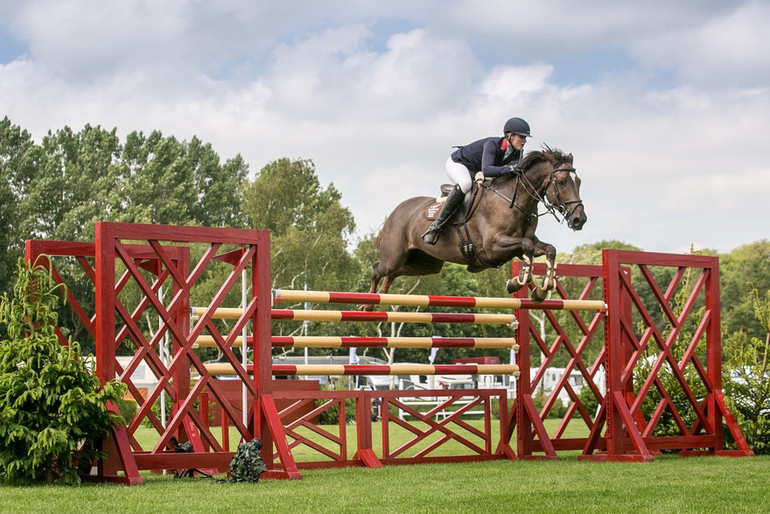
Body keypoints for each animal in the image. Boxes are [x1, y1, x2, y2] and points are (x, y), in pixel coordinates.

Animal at [364, 144, 584, 304]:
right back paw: (367, 303)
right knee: (377, 268)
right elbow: (528, 247)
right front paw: (516, 283)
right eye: (562, 182)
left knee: (394, 272)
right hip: (395, 255)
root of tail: (395, 213)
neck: (514, 200)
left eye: (579, 181)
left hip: (425, 263)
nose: (580, 219)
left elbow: (549, 249)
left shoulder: (518, 244)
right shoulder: (492, 247)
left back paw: (380, 296)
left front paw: (540, 291)